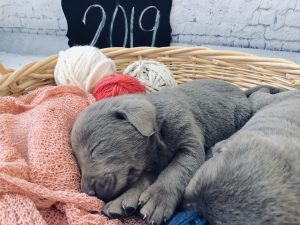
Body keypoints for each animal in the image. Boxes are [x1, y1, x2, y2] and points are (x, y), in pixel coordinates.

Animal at [69, 80, 251, 224]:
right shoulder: (150, 165)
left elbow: (175, 170)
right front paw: (122, 199)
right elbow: (141, 179)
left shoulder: (189, 144)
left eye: (95, 148)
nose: (89, 192)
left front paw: (158, 199)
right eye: (77, 161)